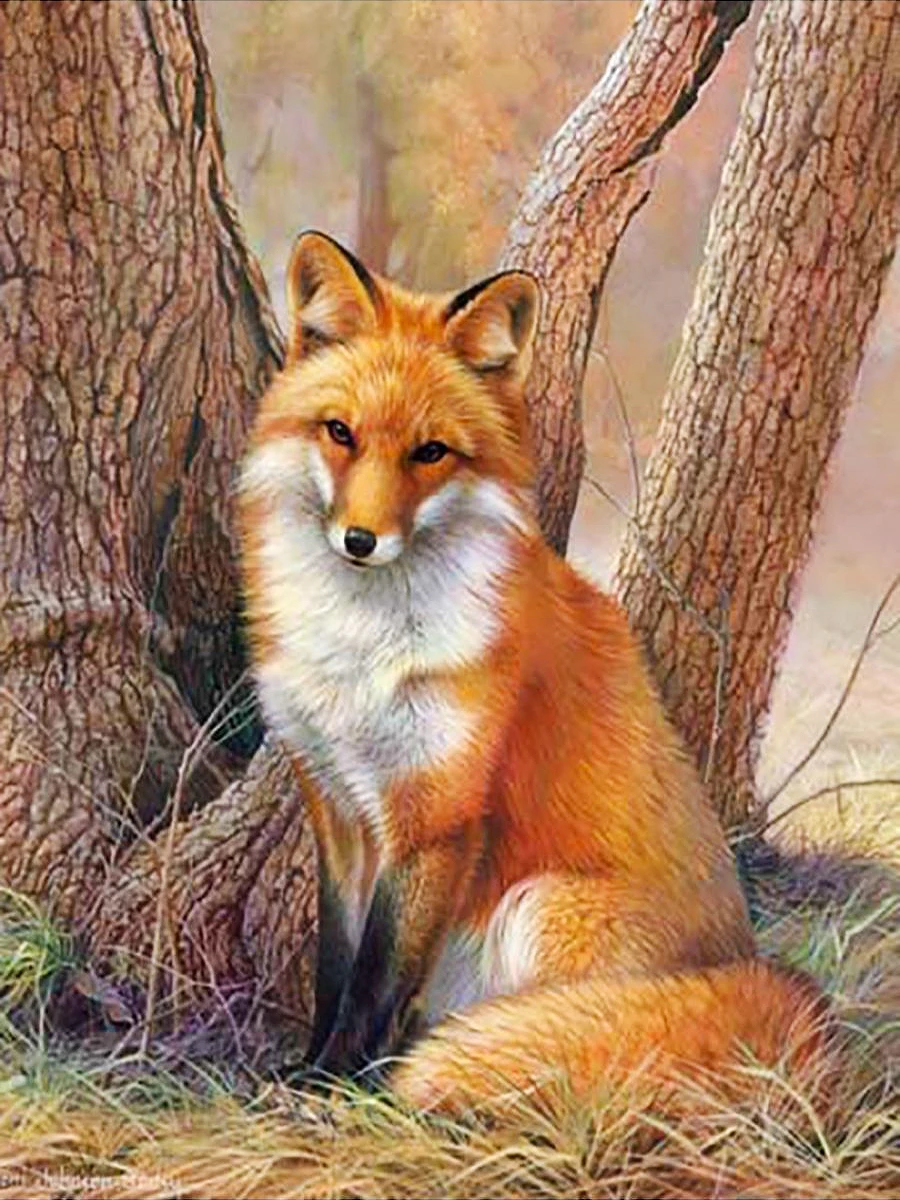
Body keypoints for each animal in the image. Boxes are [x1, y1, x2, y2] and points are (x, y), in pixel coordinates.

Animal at [238, 231, 833, 1115]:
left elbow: (377, 977)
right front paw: (312, 1065)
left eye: (430, 453)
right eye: (339, 432)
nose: (360, 541)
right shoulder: (337, 808)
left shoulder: (437, 814)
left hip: (538, 907)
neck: (364, 649)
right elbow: (334, 965)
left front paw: (337, 1086)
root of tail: (750, 964)